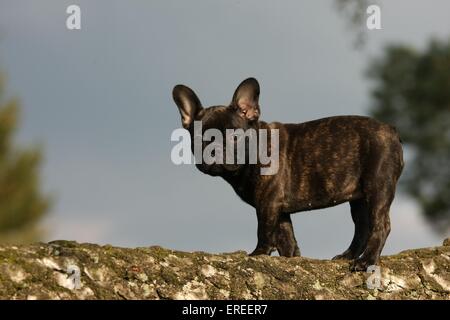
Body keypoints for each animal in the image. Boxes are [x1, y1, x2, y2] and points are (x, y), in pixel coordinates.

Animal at [172, 77, 404, 270]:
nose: (215, 150)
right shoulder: (280, 210)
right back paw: (348, 255)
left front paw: (258, 254)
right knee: (362, 227)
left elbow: (264, 231)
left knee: (380, 225)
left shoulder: (268, 203)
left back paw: (366, 261)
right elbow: (286, 239)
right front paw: (292, 259)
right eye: (198, 139)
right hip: (358, 197)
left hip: (377, 186)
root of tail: (391, 130)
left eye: (234, 137)